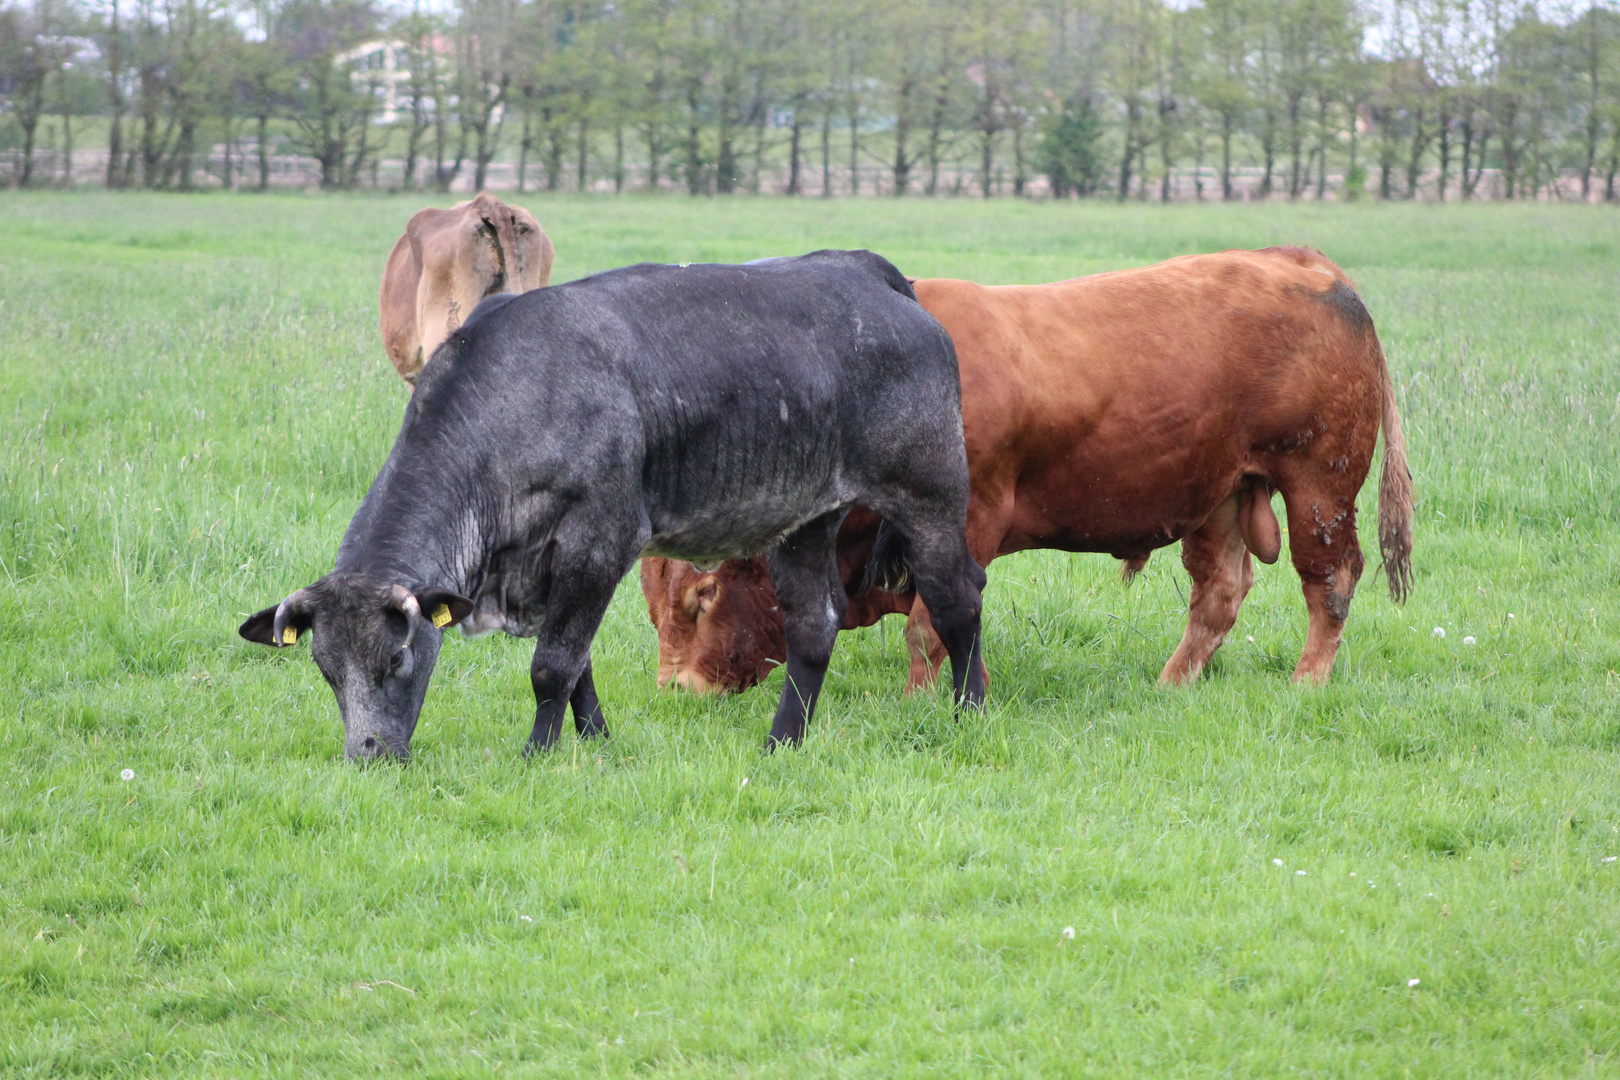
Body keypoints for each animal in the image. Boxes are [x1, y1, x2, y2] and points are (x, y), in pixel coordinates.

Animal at [239, 254, 984, 761]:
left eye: (396, 661)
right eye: (325, 670)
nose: (367, 756)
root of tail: (861, 269)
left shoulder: (600, 539)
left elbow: (552, 665)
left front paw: (537, 755)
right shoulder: (548, 567)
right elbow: (578, 663)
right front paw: (594, 740)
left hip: (929, 496)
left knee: (958, 598)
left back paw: (969, 711)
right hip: (804, 520)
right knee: (814, 625)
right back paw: (783, 741)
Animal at [638, 247, 1412, 693]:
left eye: (702, 596)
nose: (677, 689)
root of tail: (1304, 262)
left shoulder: (967, 521)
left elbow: (934, 623)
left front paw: (929, 702)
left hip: (1320, 486)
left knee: (1331, 581)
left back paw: (1307, 682)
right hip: (1220, 496)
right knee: (1219, 595)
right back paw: (1171, 684)